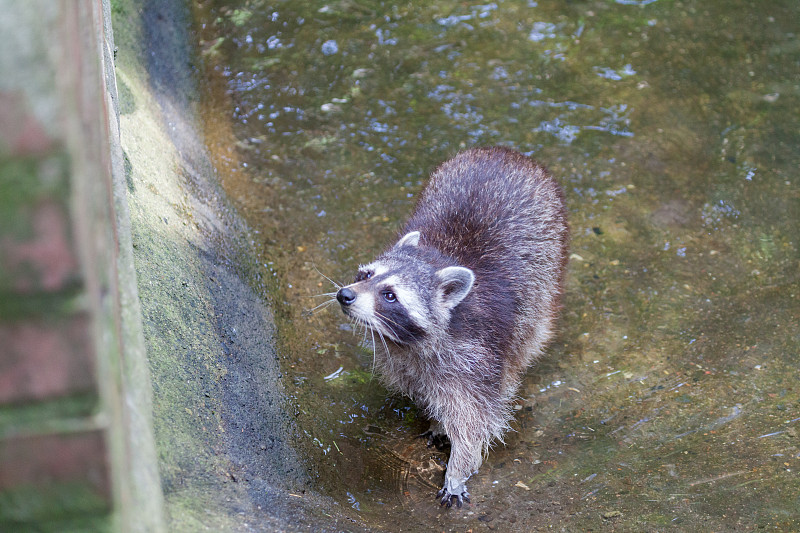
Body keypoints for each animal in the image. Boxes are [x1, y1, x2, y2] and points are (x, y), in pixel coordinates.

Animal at [336, 145, 568, 508]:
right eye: (366, 275)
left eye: (389, 295)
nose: (345, 295)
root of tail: (504, 151)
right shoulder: (405, 361)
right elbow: (425, 389)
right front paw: (435, 419)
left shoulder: (476, 356)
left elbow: (475, 418)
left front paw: (459, 467)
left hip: (548, 261)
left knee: (527, 338)